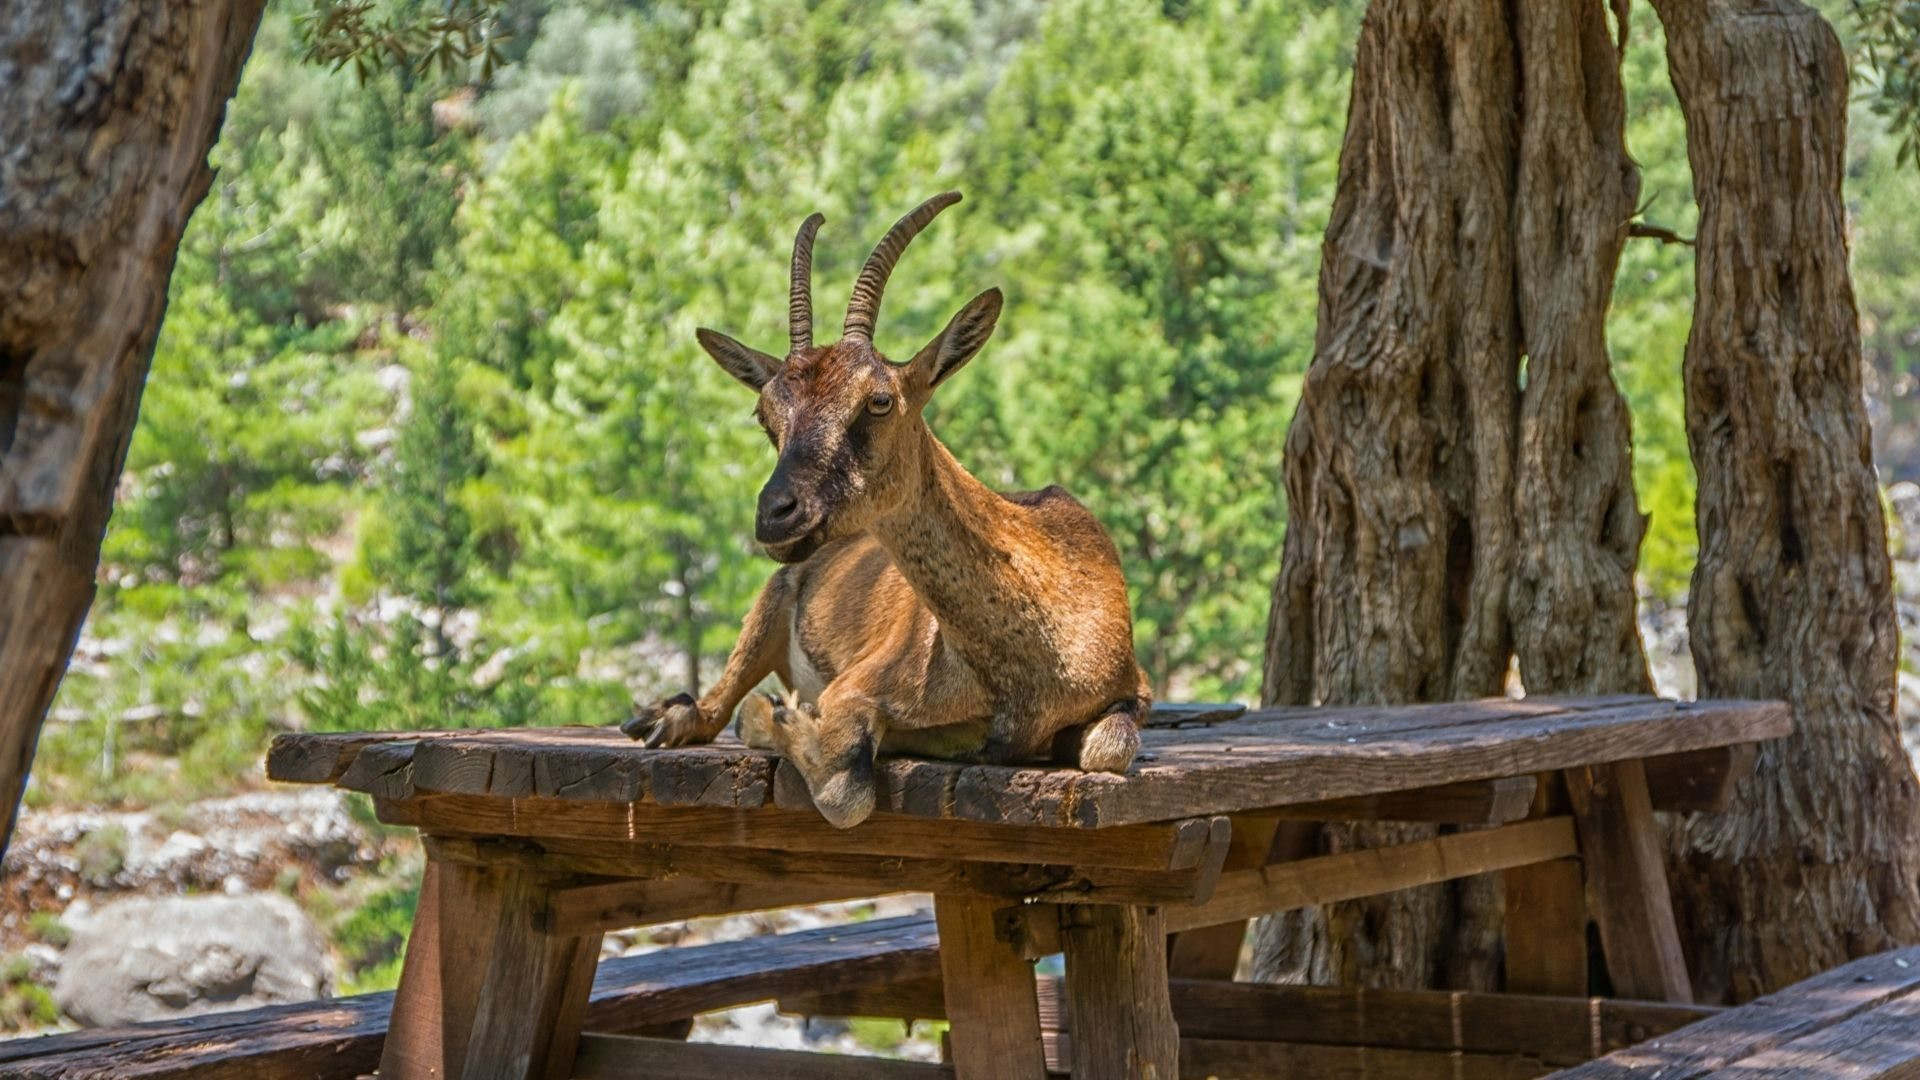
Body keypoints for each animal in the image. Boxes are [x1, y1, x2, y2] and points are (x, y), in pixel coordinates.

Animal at [622, 192, 1149, 828]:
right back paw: (667, 716)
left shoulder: (1131, 692)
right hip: (773, 601)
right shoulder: (856, 686)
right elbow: (845, 787)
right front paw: (778, 716)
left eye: (878, 400)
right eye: (766, 415)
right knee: (714, 706)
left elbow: (1109, 748)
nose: (776, 513)